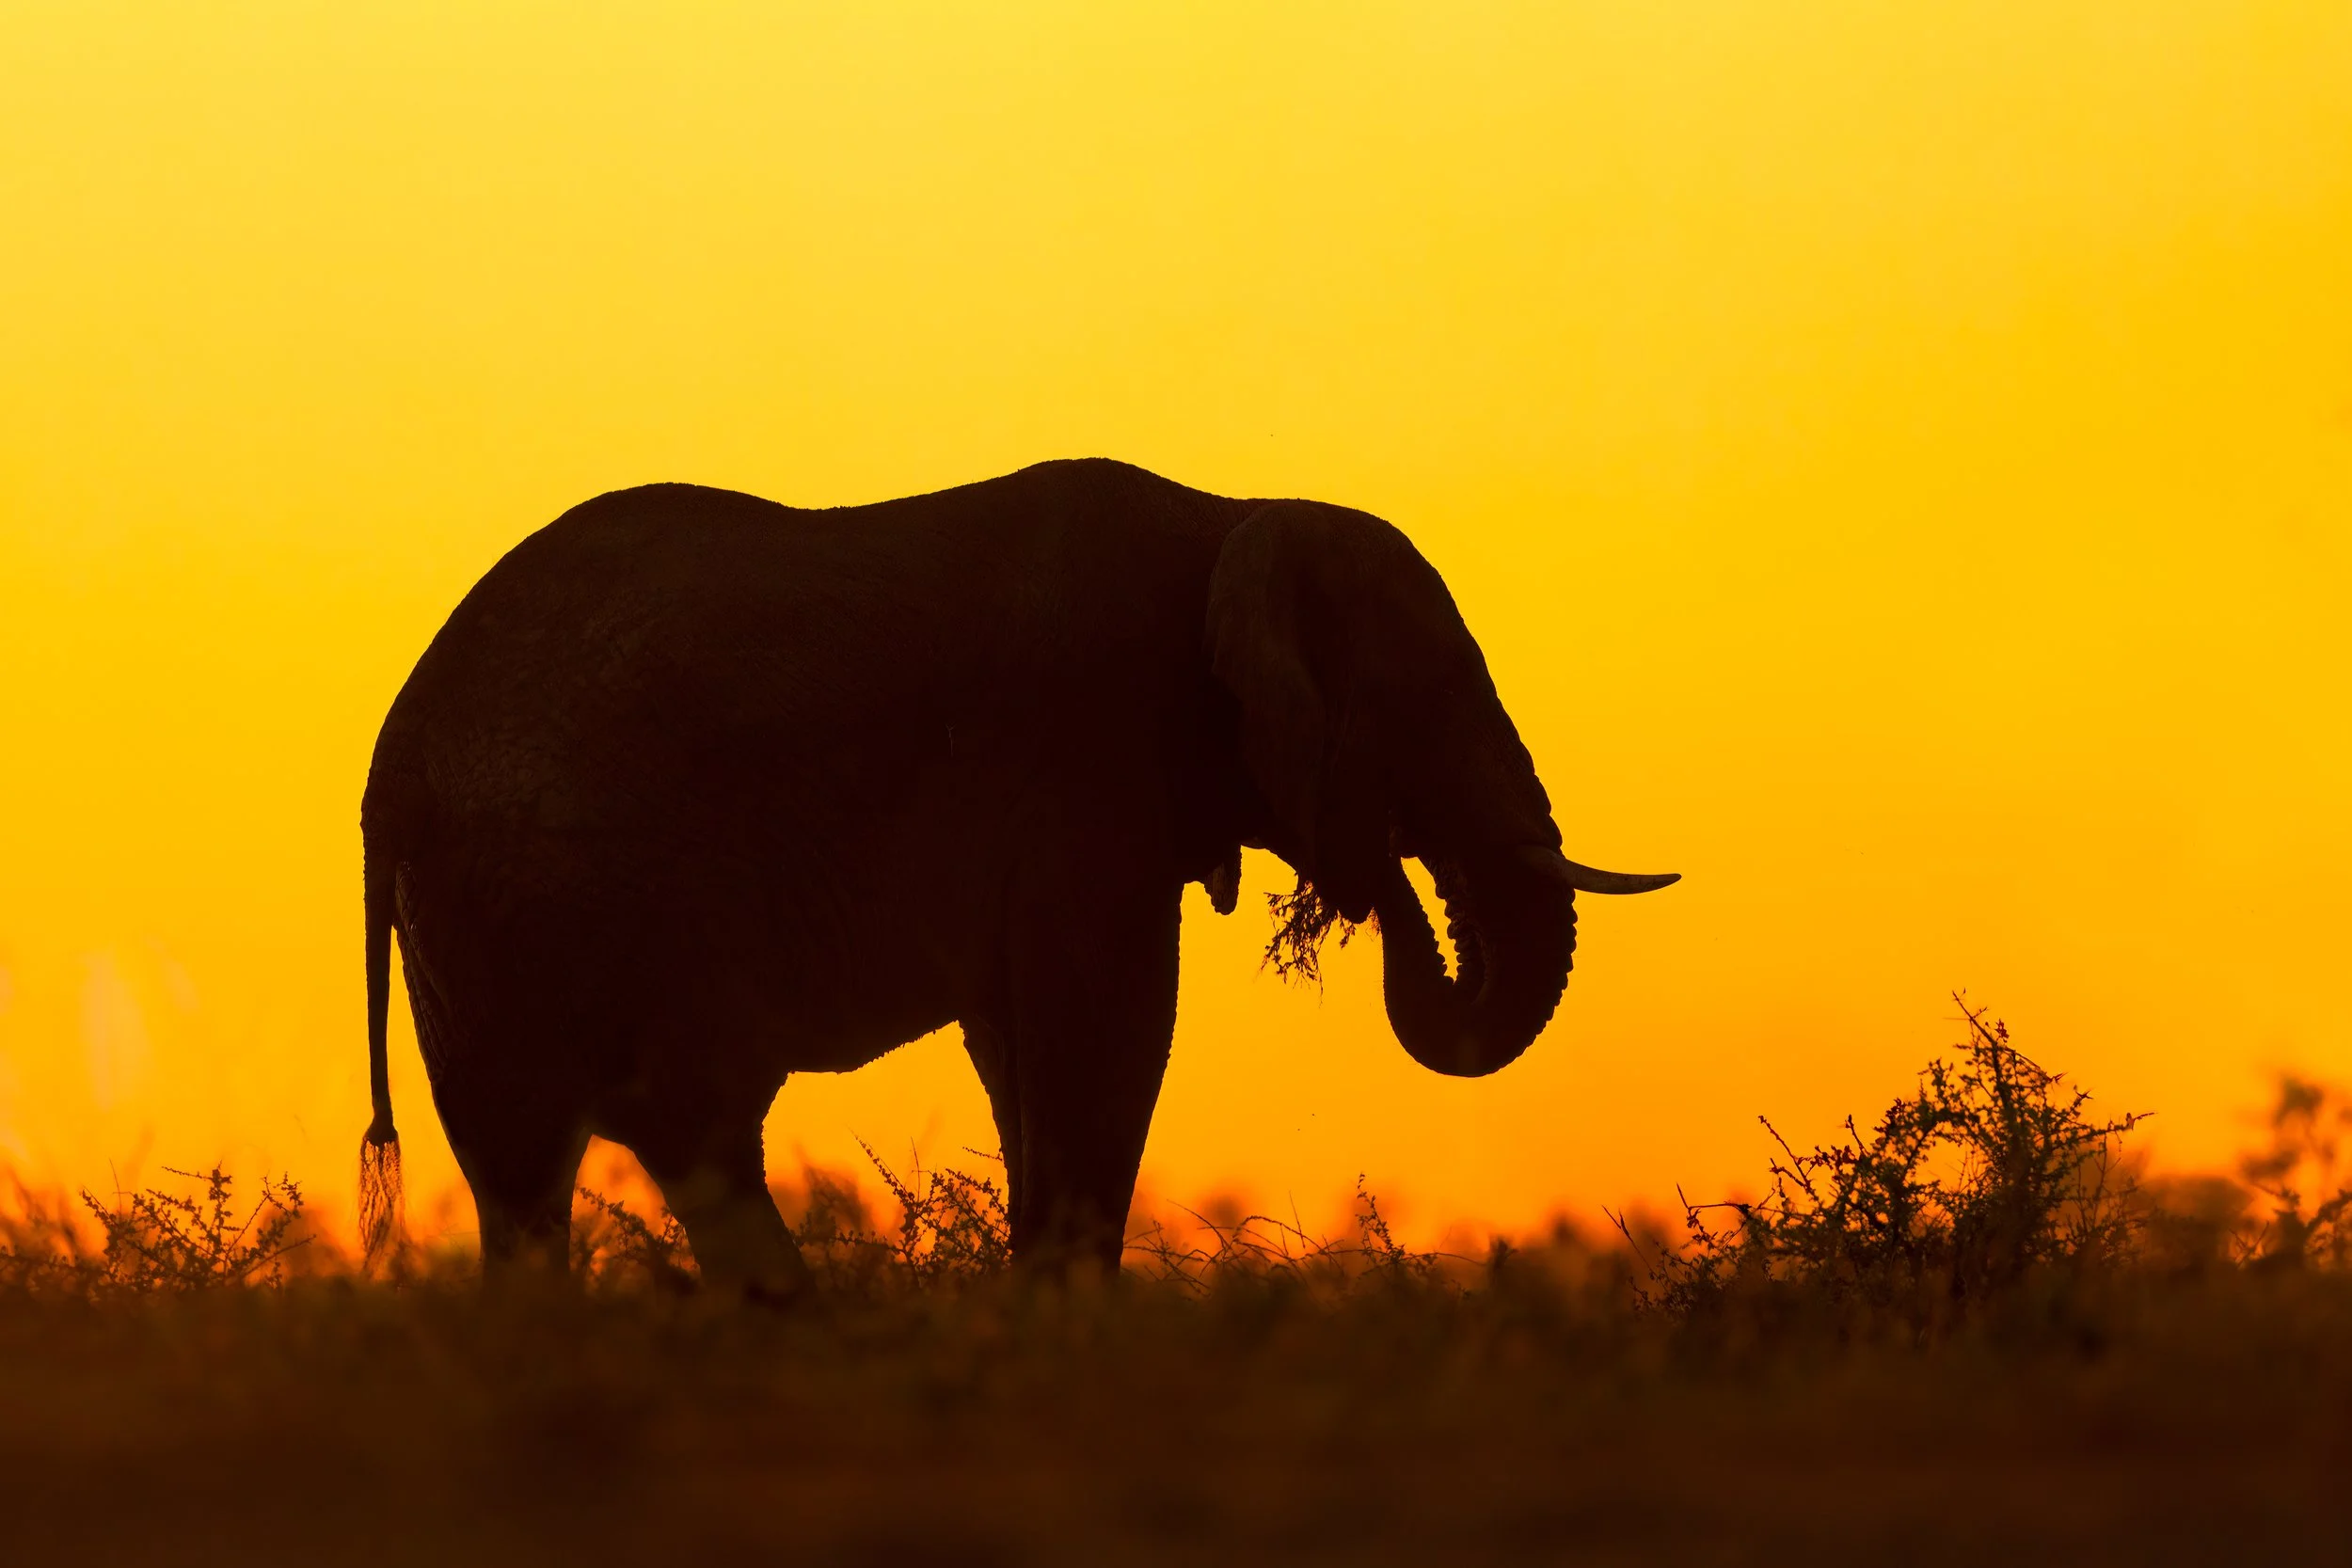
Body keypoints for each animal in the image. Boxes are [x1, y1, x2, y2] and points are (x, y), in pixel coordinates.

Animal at [357, 458, 1675, 1292]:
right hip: (536, 899)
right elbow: (1109, 1027)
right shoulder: (1082, 764)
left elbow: (1017, 1049)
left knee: (570, 1164)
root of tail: (387, 763)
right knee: (637, 1129)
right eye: (1429, 700)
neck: (1229, 515)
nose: (1375, 885)